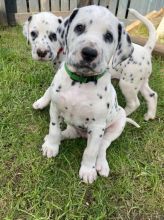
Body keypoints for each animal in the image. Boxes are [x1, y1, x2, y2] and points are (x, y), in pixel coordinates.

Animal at [30, 8, 158, 121]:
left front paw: (40, 102)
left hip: (128, 84)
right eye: (33, 34)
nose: (41, 52)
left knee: (134, 103)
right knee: (152, 95)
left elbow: (49, 89)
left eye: (53, 36)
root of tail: (146, 50)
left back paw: (122, 115)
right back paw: (150, 115)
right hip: (140, 82)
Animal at [41, 5, 139, 184]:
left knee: (102, 146)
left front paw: (88, 170)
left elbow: (91, 151)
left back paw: (101, 165)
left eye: (108, 36)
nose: (89, 52)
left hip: (116, 125)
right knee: (67, 133)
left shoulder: (97, 125)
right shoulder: (55, 109)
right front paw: (51, 146)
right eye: (79, 27)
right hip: (73, 127)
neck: (80, 81)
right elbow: (54, 129)